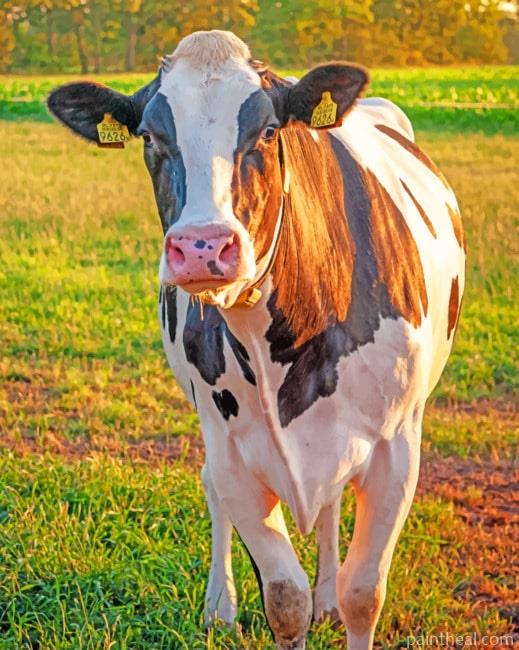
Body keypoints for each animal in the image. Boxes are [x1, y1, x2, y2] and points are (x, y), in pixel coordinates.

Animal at [48, 30, 465, 650]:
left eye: (268, 131)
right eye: (149, 136)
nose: (202, 246)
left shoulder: (397, 447)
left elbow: (363, 594)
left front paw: (337, 600)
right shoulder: (234, 454)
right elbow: (284, 601)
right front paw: (264, 603)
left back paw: (326, 597)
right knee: (212, 489)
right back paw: (219, 605)